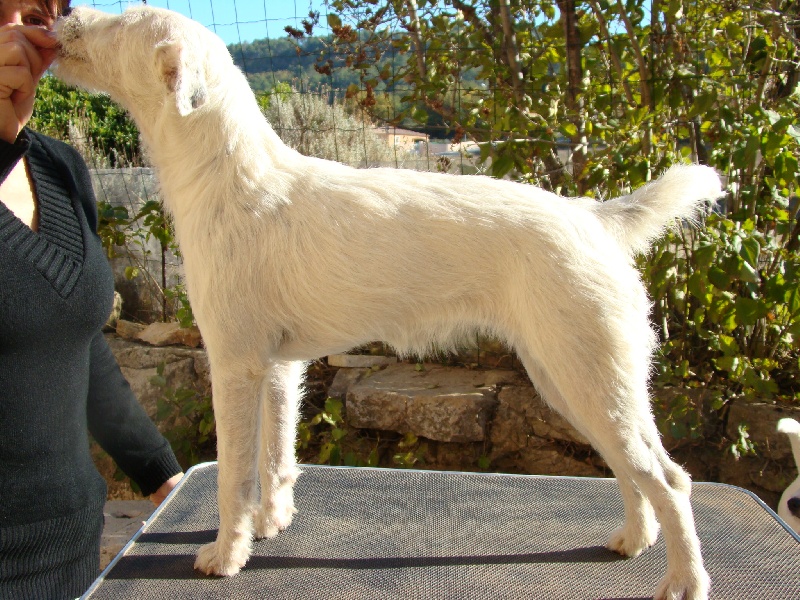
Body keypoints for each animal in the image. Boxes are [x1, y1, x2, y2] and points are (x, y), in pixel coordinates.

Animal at [54, 6, 722, 598]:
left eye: (123, 21)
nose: (62, 17)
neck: (230, 174)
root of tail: (594, 218)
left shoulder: (234, 364)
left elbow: (233, 475)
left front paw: (227, 554)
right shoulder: (277, 368)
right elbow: (275, 457)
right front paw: (273, 523)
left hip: (589, 376)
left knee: (669, 478)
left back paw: (685, 582)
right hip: (574, 379)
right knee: (632, 469)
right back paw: (634, 539)